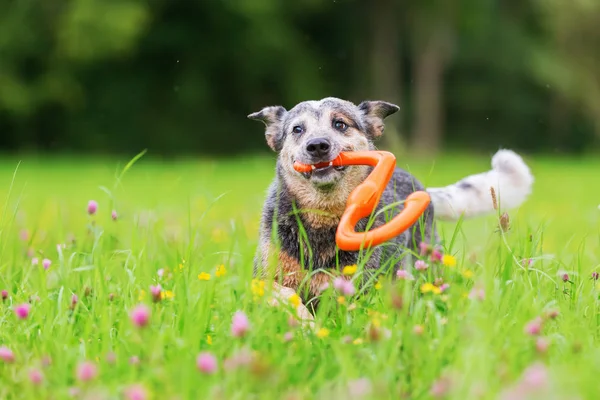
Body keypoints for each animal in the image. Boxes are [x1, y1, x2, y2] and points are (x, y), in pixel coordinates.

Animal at [248, 97, 536, 322]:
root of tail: (425, 191)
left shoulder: (356, 285)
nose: (317, 145)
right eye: (297, 129)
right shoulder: (266, 277)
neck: (324, 216)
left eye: (340, 124)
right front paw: (303, 322)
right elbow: (283, 294)